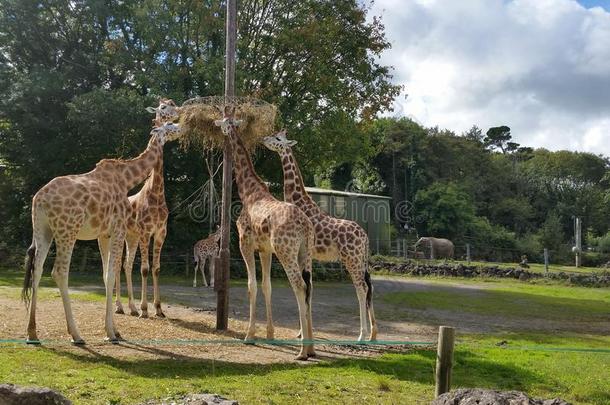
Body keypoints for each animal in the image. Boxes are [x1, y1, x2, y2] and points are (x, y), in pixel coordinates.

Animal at [22, 121, 183, 342]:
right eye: (169, 125)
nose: (181, 127)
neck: (127, 179)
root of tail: (40, 200)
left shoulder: (104, 234)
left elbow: (107, 275)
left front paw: (116, 329)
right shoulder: (118, 229)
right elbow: (112, 273)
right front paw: (111, 332)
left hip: (43, 230)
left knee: (37, 269)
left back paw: (32, 332)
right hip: (68, 230)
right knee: (59, 271)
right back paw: (76, 334)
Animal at [114, 99, 180, 318]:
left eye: (173, 104)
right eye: (163, 107)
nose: (179, 113)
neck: (156, 194)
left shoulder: (160, 232)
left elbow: (156, 268)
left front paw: (158, 309)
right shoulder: (145, 232)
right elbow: (144, 268)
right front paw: (145, 309)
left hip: (131, 236)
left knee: (125, 265)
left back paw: (131, 308)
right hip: (123, 234)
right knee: (116, 265)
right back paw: (120, 307)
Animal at [214, 111, 316, 360]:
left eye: (224, 121)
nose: (216, 124)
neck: (248, 191)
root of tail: (306, 227)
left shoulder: (246, 244)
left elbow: (251, 285)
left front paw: (249, 335)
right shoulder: (265, 250)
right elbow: (267, 285)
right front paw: (269, 334)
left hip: (286, 252)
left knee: (300, 286)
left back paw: (302, 351)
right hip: (305, 253)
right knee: (309, 287)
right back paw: (311, 348)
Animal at [260, 130, 376, 340]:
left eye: (278, 139)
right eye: (274, 135)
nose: (264, 139)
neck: (300, 202)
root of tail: (365, 238)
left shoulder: (303, 253)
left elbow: (305, 287)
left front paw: (302, 331)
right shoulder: (308, 255)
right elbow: (309, 287)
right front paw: (302, 331)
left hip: (352, 259)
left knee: (361, 288)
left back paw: (361, 336)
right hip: (361, 261)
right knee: (369, 287)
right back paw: (373, 335)